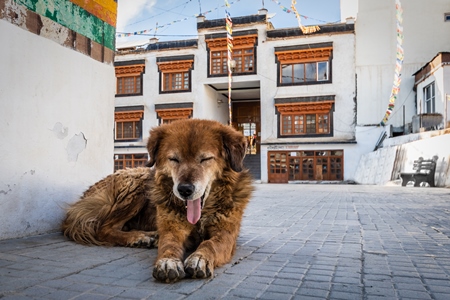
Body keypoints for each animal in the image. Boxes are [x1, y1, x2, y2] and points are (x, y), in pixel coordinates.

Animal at [61, 119, 255, 282]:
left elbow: (210, 244)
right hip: (137, 183)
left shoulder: (225, 234)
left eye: (205, 158)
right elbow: (169, 245)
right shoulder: (172, 228)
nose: (185, 189)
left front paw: (199, 258)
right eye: (174, 159)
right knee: (103, 228)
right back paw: (140, 237)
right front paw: (168, 261)